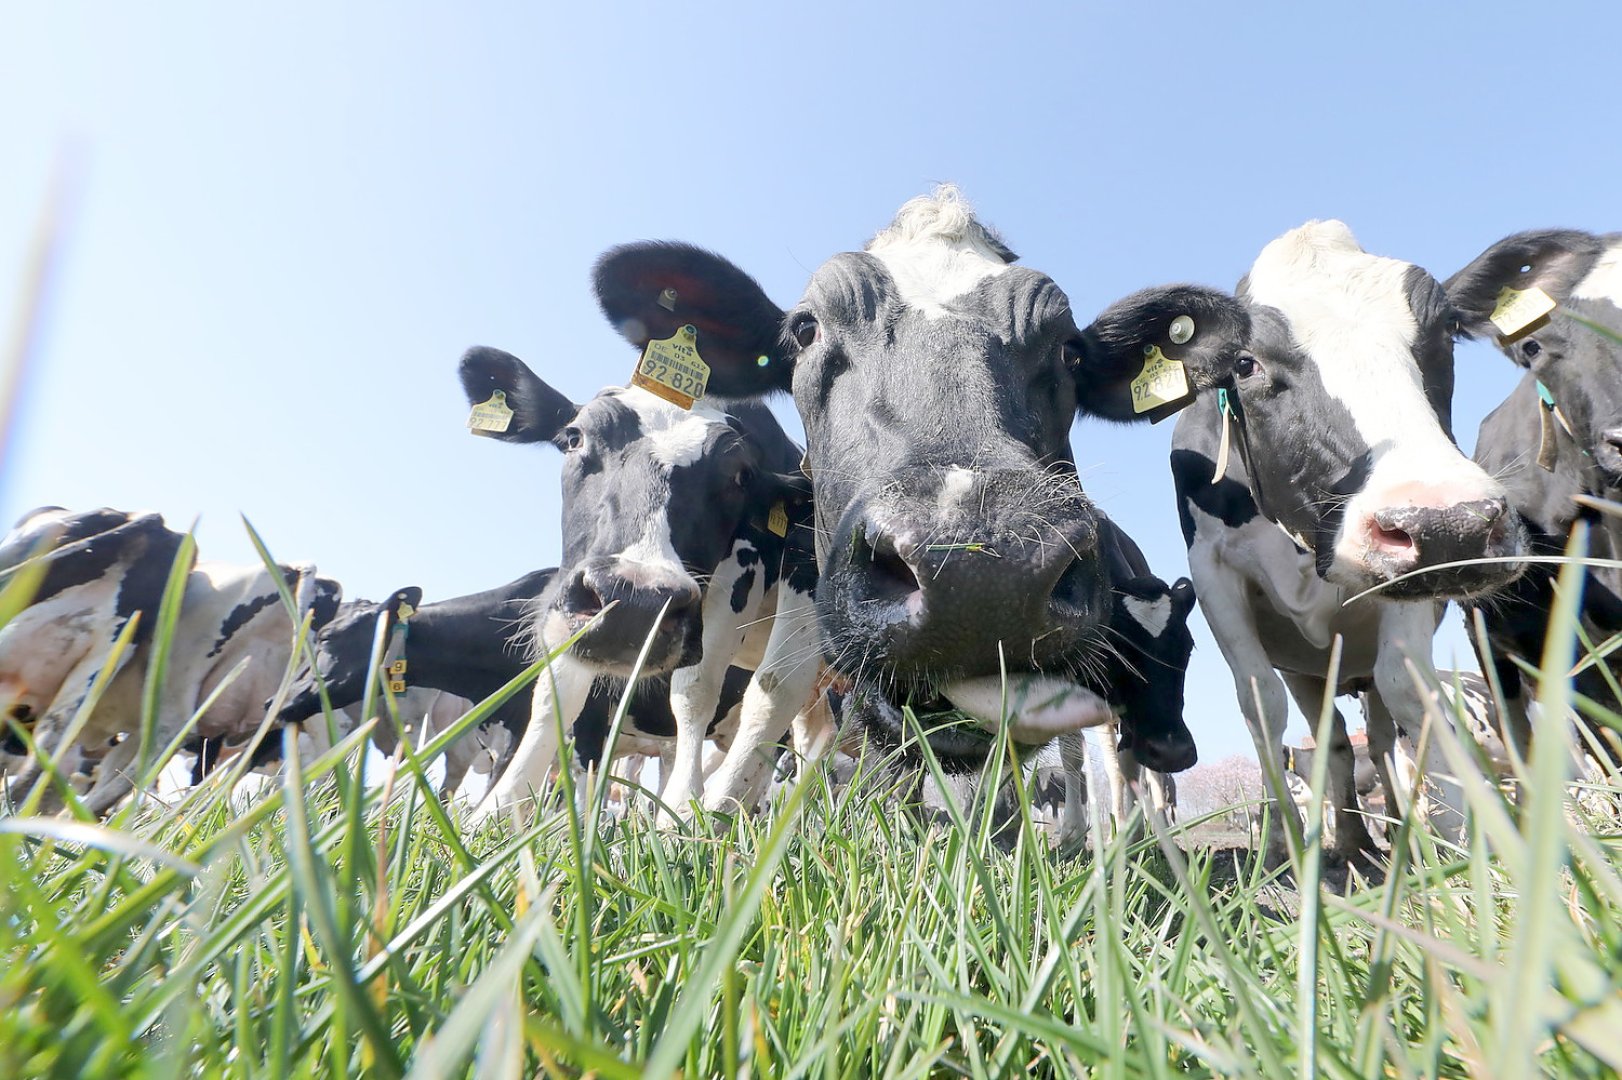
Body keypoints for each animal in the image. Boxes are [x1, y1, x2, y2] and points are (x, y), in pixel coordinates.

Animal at [1158, 220, 1530, 860]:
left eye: (1448, 334)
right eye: (1245, 364)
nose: (1448, 525)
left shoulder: (1410, 584)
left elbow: (1412, 691)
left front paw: (1462, 844)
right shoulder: (1210, 570)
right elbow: (1260, 702)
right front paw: (1283, 851)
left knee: (1380, 737)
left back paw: (1401, 841)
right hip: (1311, 667)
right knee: (1332, 739)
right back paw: (1351, 846)